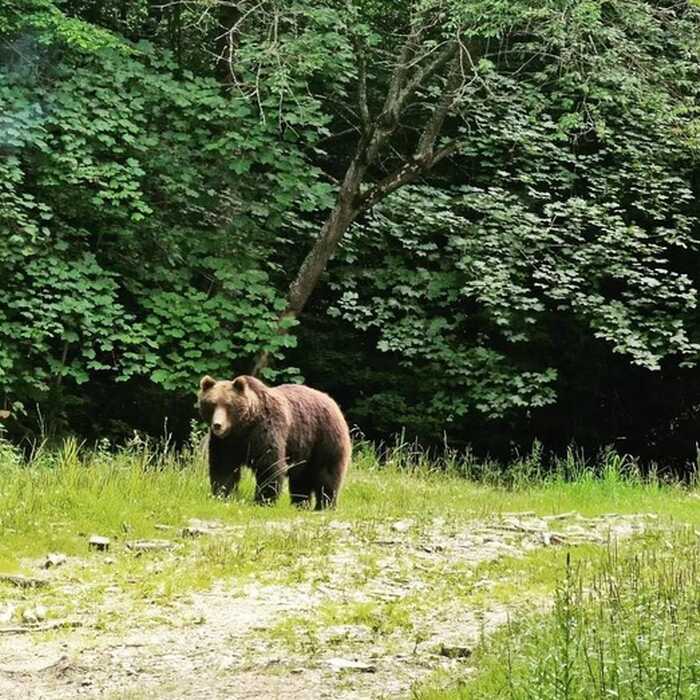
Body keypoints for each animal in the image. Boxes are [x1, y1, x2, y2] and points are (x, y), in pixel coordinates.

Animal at [197, 374, 351, 509]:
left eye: (228, 405)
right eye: (212, 404)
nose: (217, 425)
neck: (244, 426)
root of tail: (331, 401)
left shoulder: (266, 429)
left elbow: (269, 464)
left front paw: (263, 500)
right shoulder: (227, 442)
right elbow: (223, 466)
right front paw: (221, 495)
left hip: (324, 436)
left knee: (327, 473)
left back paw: (324, 505)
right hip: (303, 448)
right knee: (301, 478)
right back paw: (300, 504)